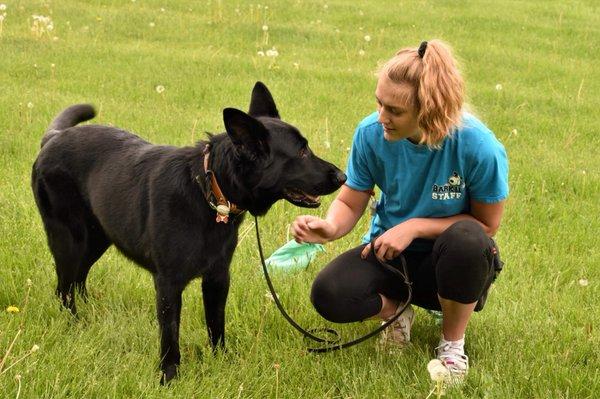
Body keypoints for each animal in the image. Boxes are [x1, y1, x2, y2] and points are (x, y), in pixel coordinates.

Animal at [30, 83, 344, 386]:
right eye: (301, 152)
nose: (342, 177)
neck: (209, 190)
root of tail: (54, 138)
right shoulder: (168, 284)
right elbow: (170, 336)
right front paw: (168, 376)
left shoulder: (218, 278)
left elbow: (216, 325)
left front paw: (222, 362)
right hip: (70, 241)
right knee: (64, 289)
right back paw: (74, 324)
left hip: (97, 239)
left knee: (78, 280)